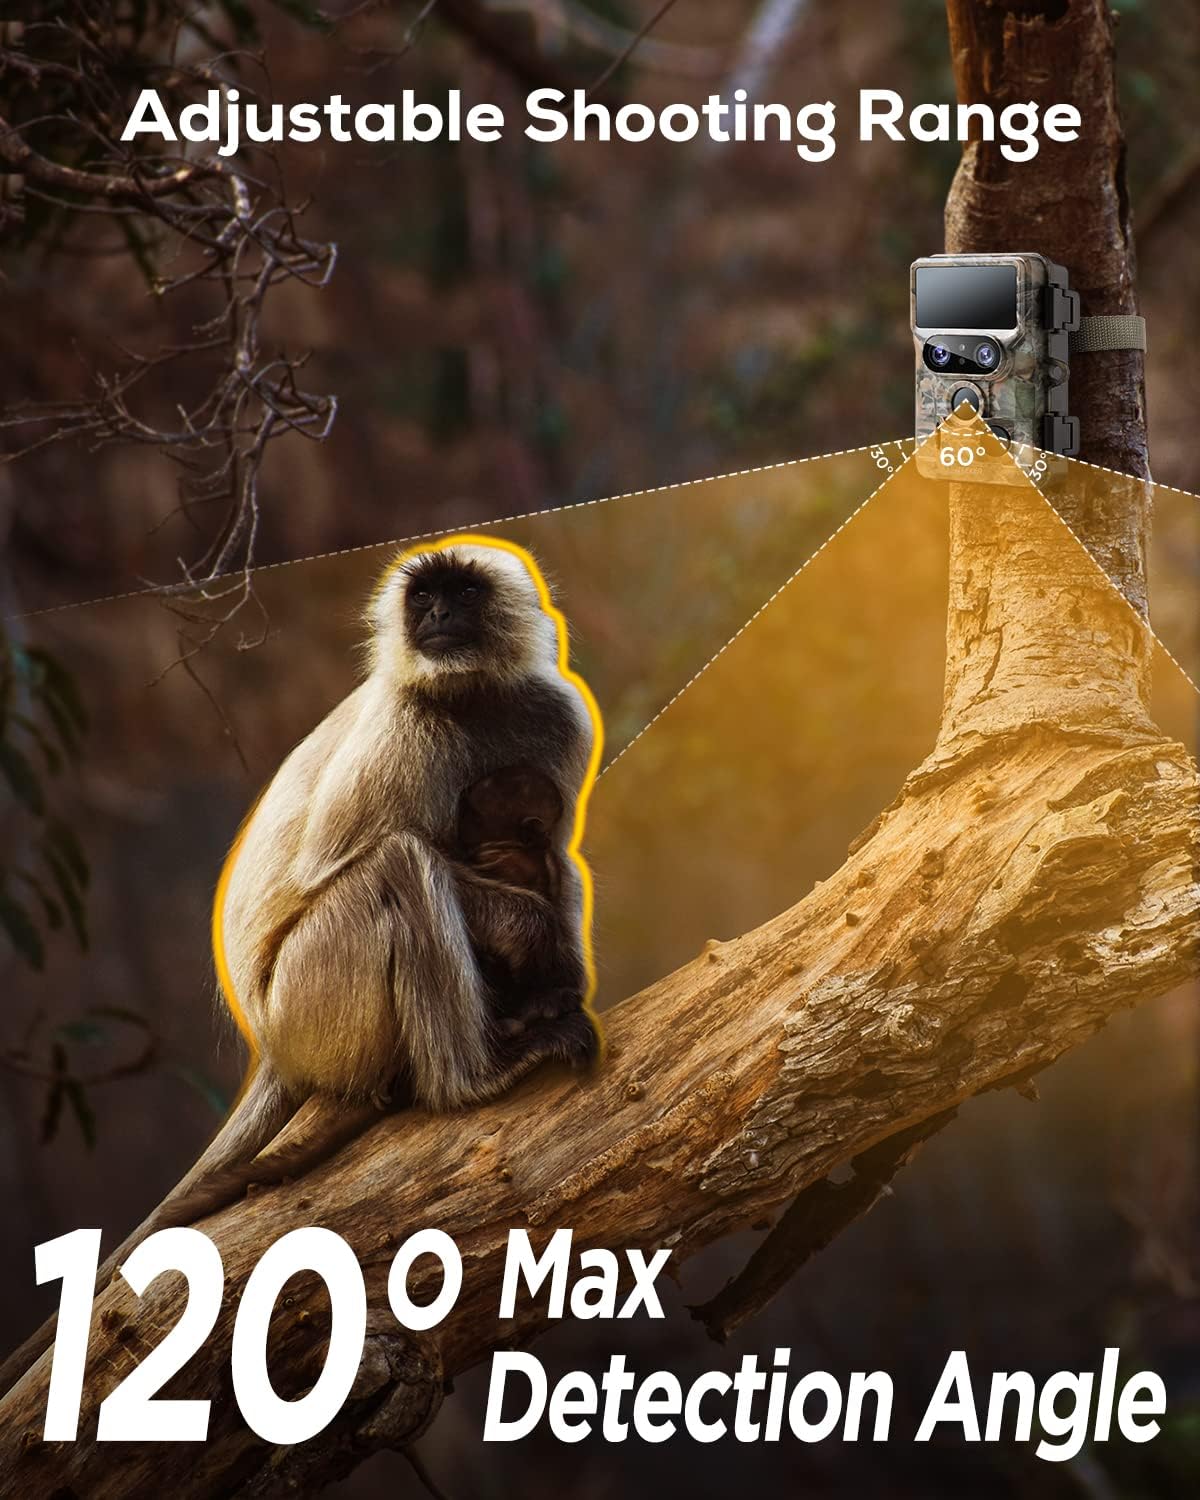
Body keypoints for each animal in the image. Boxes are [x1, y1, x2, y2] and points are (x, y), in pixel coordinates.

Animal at [0, 539, 600, 1398]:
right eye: (424, 600)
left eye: (460, 596)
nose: (436, 617)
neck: (471, 697)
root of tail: (272, 1044)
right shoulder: (403, 730)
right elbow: (339, 870)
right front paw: (529, 941)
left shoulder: (555, 714)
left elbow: (554, 853)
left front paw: (552, 980)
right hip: (313, 994)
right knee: (398, 863)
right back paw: (467, 1081)